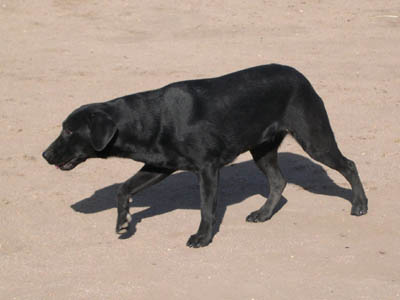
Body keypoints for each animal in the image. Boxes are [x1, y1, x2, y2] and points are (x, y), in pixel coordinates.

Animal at [42, 62, 368, 246]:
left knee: (350, 165)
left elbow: (206, 208)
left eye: (69, 131)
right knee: (279, 182)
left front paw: (202, 237)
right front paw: (123, 221)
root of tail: (300, 76)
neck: (148, 120)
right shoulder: (159, 166)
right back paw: (263, 214)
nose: (45, 154)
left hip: (315, 140)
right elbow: (123, 189)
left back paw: (360, 205)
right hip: (262, 148)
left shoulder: (208, 168)